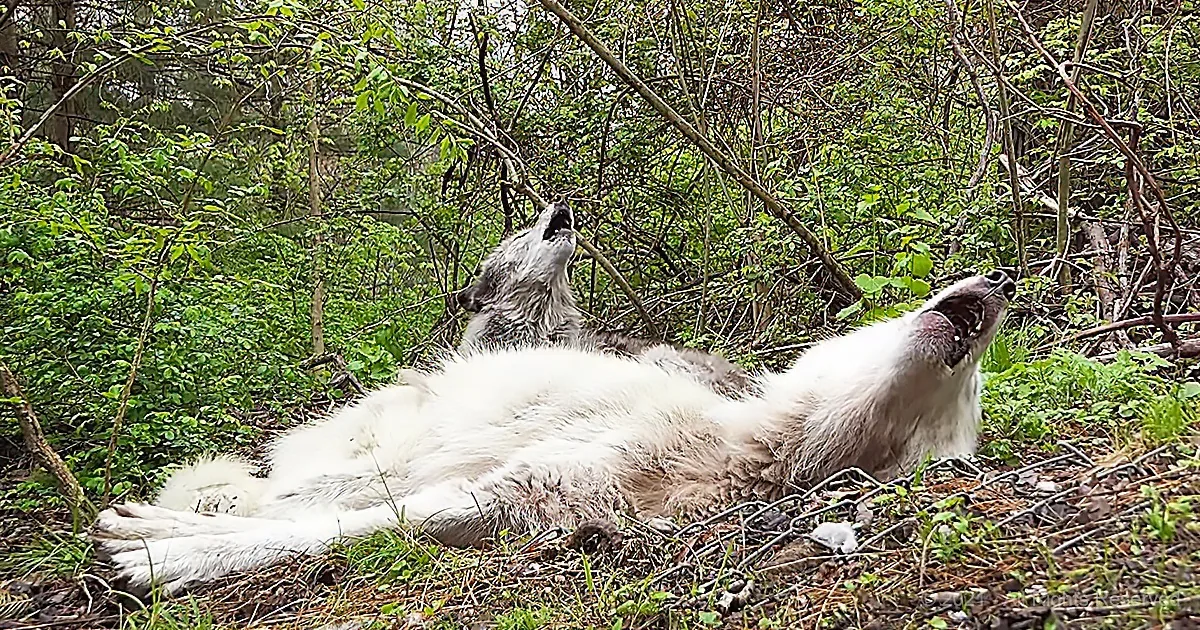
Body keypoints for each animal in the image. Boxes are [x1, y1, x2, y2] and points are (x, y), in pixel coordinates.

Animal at [94, 270, 1015, 594]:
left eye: (966, 405)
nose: (1002, 283)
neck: (753, 453)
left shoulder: (524, 503)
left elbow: (337, 534)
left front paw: (158, 557)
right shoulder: (507, 481)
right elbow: (322, 530)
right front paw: (155, 549)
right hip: (377, 449)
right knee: (277, 493)